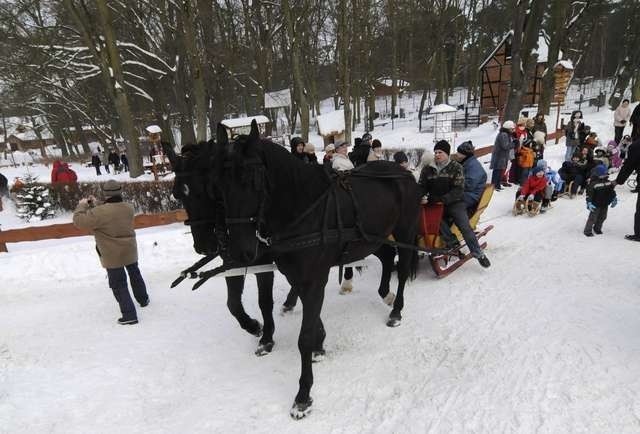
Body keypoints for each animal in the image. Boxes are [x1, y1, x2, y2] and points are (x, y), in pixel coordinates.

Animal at [215, 120, 422, 418]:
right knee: (385, 258)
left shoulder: (313, 279)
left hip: (404, 232)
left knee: (402, 270)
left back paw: (396, 310)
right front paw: (320, 343)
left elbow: (304, 336)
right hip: (372, 238)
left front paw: (303, 395)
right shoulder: (299, 276)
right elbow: (309, 317)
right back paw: (385, 293)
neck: (303, 209)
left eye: (252, 179)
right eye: (220, 183)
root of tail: (405, 173)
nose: (240, 251)